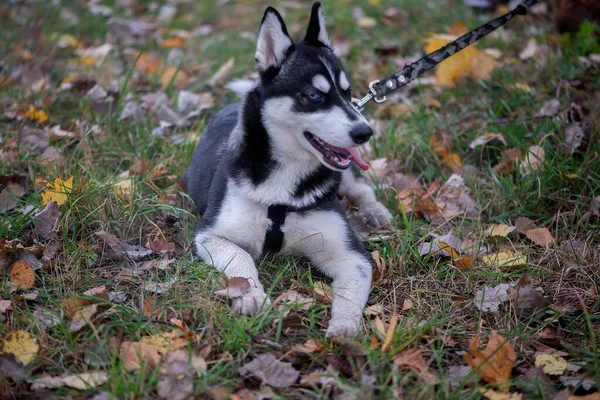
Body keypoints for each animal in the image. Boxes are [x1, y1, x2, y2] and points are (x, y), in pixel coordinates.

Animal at [185, 2, 392, 338]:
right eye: (314, 96)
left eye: (348, 93)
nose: (365, 132)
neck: (285, 182)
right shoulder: (210, 234)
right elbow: (241, 256)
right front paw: (250, 294)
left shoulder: (349, 254)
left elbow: (353, 288)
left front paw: (345, 326)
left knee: (360, 186)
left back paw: (374, 210)